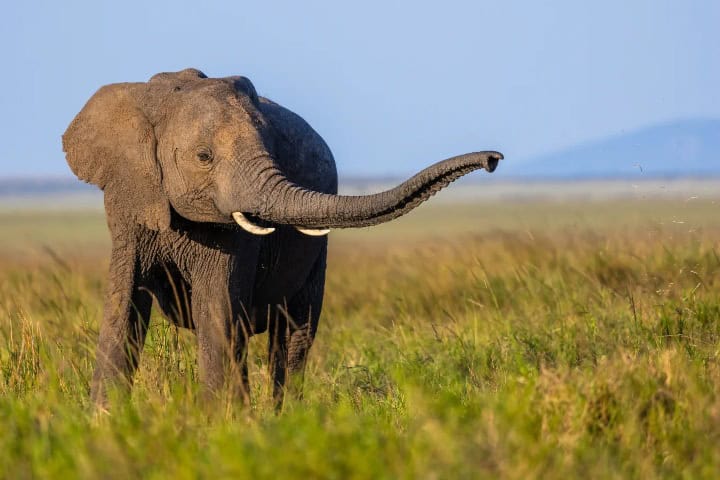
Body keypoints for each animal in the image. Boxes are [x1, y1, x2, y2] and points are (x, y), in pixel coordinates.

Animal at [62, 68, 502, 410]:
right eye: (204, 157)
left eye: (271, 147)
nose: (494, 159)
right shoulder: (129, 201)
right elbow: (123, 308)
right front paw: (106, 422)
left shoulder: (235, 237)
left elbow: (215, 310)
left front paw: (216, 426)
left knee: (292, 335)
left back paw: (285, 420)